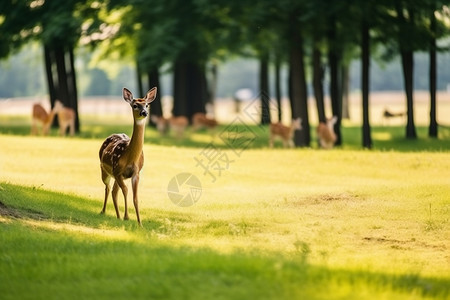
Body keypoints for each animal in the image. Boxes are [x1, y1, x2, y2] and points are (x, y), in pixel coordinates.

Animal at [99, 86, 157, 225]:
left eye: (147, 105)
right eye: (135, 105)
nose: (144, 113)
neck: (130, 158)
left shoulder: (136, 173)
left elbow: (135, 197)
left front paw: (140, 223)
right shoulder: (118, 170)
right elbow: (125, 191)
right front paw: (127, 217)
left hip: (116, 175)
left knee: (114, 191)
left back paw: (117, 216)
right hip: (105, 170)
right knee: (108, 187)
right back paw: (103, 211)